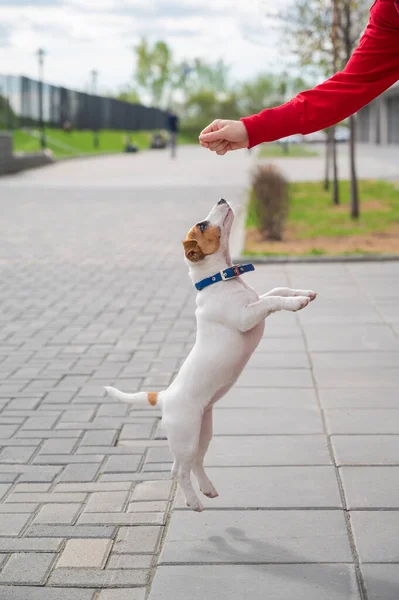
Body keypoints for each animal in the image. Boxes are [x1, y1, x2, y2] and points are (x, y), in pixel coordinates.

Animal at [104, 200, 318, 510]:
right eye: (202, 225)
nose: (221, 199)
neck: (220, 279)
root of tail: (164, 397)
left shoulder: (255, 302)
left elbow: (277, 290)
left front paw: (303, 293)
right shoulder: (246, 316)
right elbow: (271, 300)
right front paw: (296, 302)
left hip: (203, 432)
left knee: (196, 463)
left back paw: (207, 489)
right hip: (185, 436)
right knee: (178, 470)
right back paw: (194, 502)